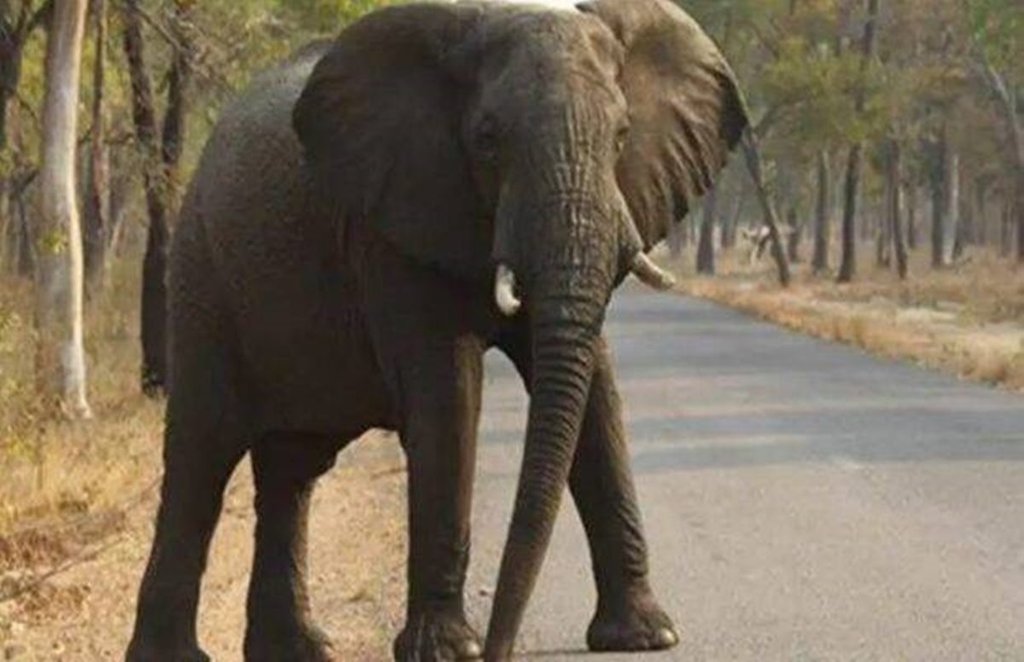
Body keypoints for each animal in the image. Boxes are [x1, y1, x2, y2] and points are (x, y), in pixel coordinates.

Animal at [125, 0, 748, 660]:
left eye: (623, 136)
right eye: (488, 141)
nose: (503, 649)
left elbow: (596, 393)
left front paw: (647, 636)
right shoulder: (390, 224)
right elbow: (449, 395)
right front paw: (452, 650)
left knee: (290, 470)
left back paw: (299, 649)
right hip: (202, 273)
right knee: (203, 454)